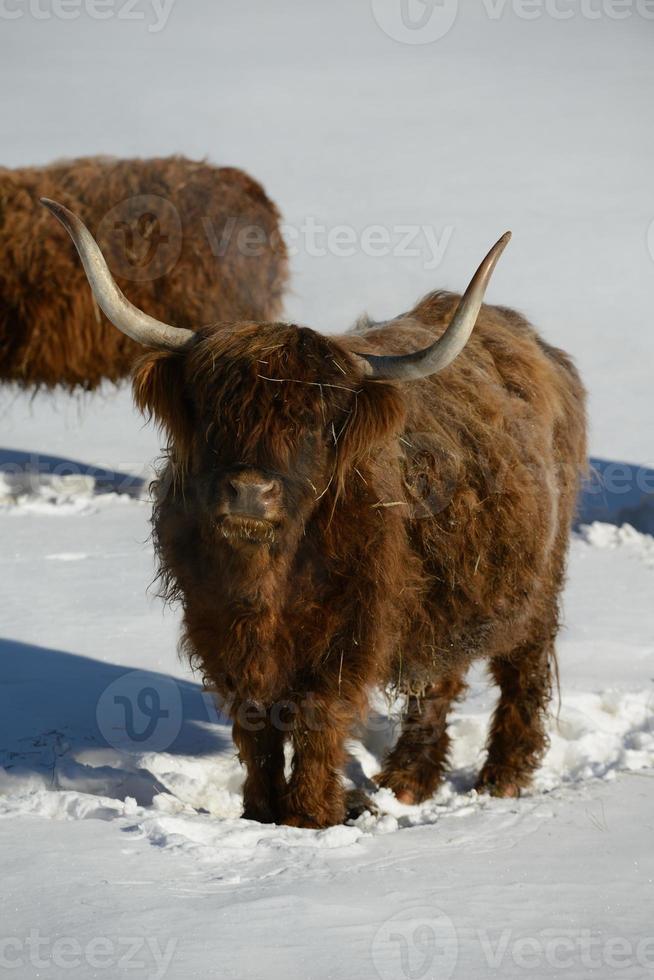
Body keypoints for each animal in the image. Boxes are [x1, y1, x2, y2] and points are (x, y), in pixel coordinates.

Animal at [42, 199, 588, 828]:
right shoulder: (218, 629)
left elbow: (317, 716)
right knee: (437, 678)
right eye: (214, 412)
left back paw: (501, 778)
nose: (250, 492)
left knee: (521, 668)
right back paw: (407, 782)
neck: (267, 582)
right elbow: (255, 724)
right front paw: (260, 812)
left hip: (538, 581)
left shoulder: (351, 632)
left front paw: (309, 817)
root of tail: (533, 342)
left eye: (313, 422)